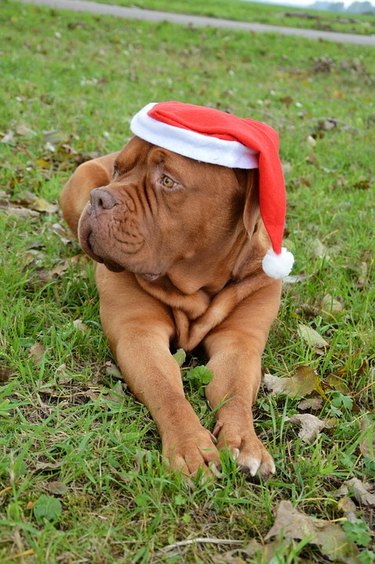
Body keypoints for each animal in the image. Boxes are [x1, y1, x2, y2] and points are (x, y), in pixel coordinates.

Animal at [60, 101, 294, 476]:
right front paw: (190, 445)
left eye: (168, 181)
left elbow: (236, 394)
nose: (100, 199)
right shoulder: (139, 334)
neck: (196, 287)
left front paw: (246, 443)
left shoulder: (239, 344)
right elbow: (166, 390)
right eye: (118, 169)